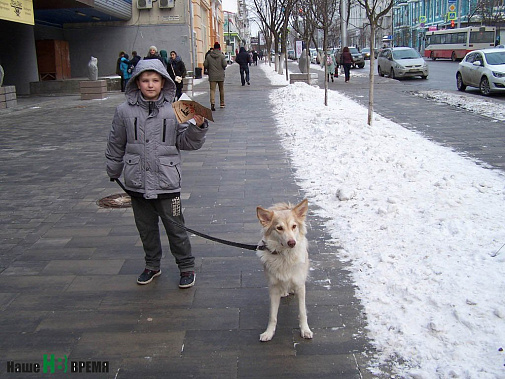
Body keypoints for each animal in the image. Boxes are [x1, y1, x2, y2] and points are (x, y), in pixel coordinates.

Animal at [256, 200, 312, 342]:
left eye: (294, 226)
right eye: (279, 228)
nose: (292, 242)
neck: (284, 255)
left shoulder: (300, 286)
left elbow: (302, 312)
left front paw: (305, 330)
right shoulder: (273, 288)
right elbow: (272, 316)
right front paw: (269, 333)